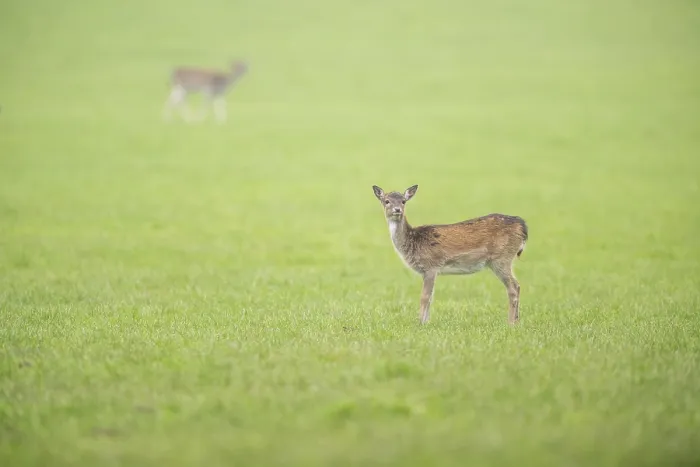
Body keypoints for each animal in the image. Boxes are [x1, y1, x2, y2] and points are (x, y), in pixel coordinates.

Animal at [372, 185, 528, 325]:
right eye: (387, 201)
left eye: (403, 201)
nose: (397, 209)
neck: (413, 242)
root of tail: (522, 226)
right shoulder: (426, 271)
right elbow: (431, 297)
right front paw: (426, 323)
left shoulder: (431, 266)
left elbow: (424, 296)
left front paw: (420, 323)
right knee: (517, 285)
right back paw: (517, 321)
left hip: (501, 258)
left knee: (513, 287)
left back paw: (510, 323)